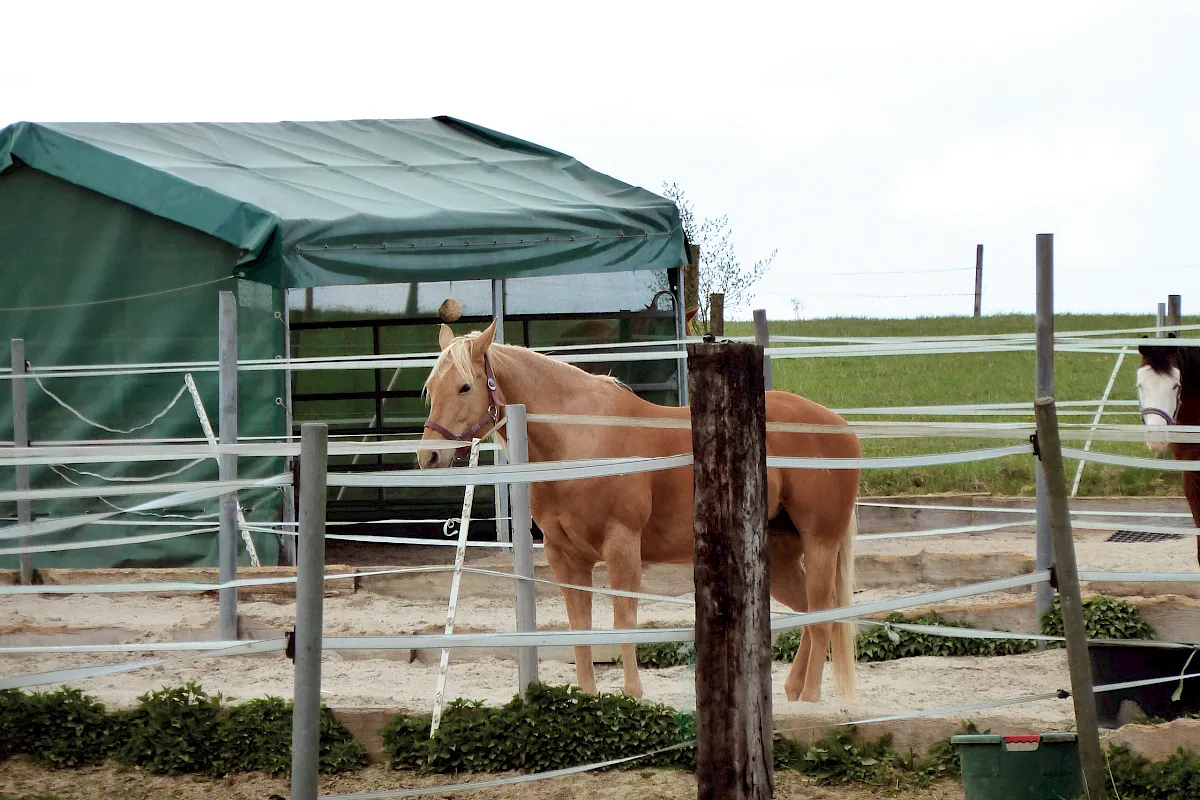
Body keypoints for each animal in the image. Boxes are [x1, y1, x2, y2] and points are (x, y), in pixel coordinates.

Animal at [416, 319, 861, 703]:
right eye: (431, 388)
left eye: (464, 386)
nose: (429, 456)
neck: (581, 438)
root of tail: (842, 428)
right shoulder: (567, 558)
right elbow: (580, 628)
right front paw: (588, 697)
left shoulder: (623, 548)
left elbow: (623, 622)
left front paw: (632, 695)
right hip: (782, 557)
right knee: (810, 614)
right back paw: (792, 690)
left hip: (821, 543)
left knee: (825, 615)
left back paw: (810, 697)